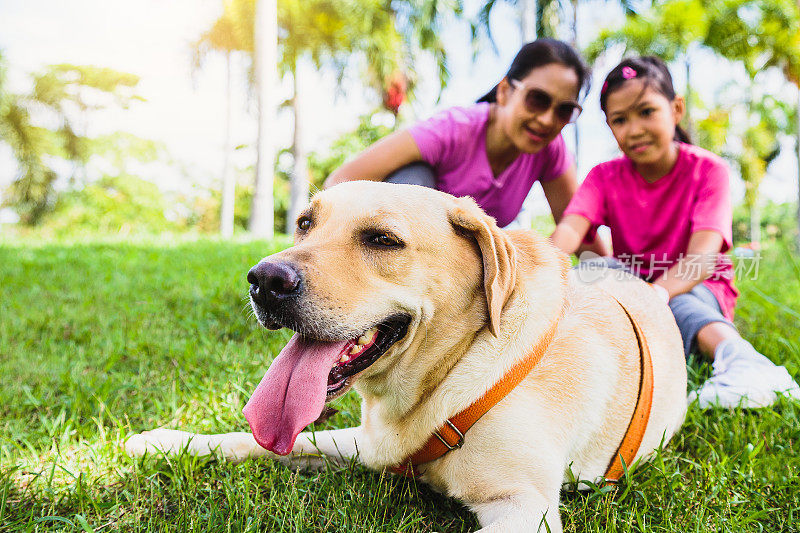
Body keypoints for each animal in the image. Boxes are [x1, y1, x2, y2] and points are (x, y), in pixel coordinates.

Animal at [126, 181, 688, 528]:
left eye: (383, 239)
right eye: (304, 223)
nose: (264, 281)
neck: (453, 372)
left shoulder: (524, 504)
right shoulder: (371, 443)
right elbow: (266, 441)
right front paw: (169, 441)